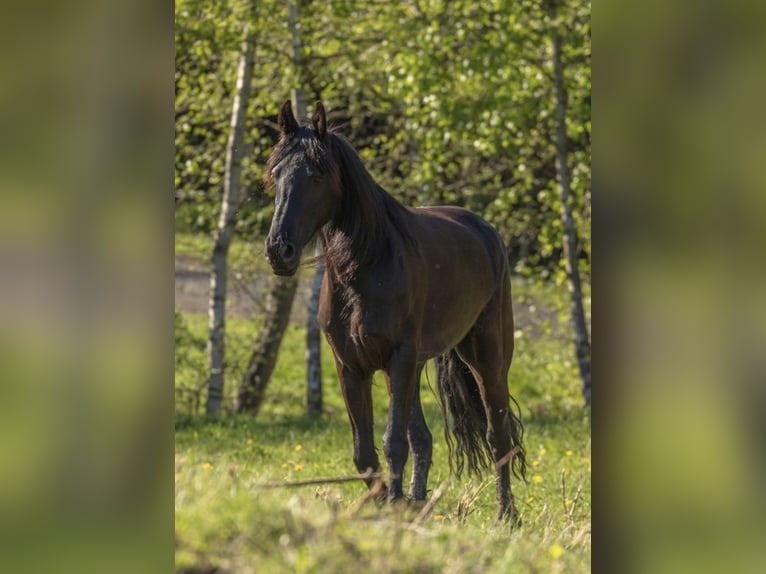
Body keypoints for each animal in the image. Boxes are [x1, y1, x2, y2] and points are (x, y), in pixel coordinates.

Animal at [264, 100, 527, 523]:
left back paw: (506, 515)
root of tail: (484, 230)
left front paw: (391, 504)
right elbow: (366, 452)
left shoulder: (398, 359)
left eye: (317, 175)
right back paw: (420, 503)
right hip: (414, 366)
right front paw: (389, 501)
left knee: (497, 435)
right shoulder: (351, 366)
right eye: (275, 173)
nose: (279, 251)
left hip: (486, 359)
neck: (366, 266)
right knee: (424, 438)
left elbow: (392, 443)